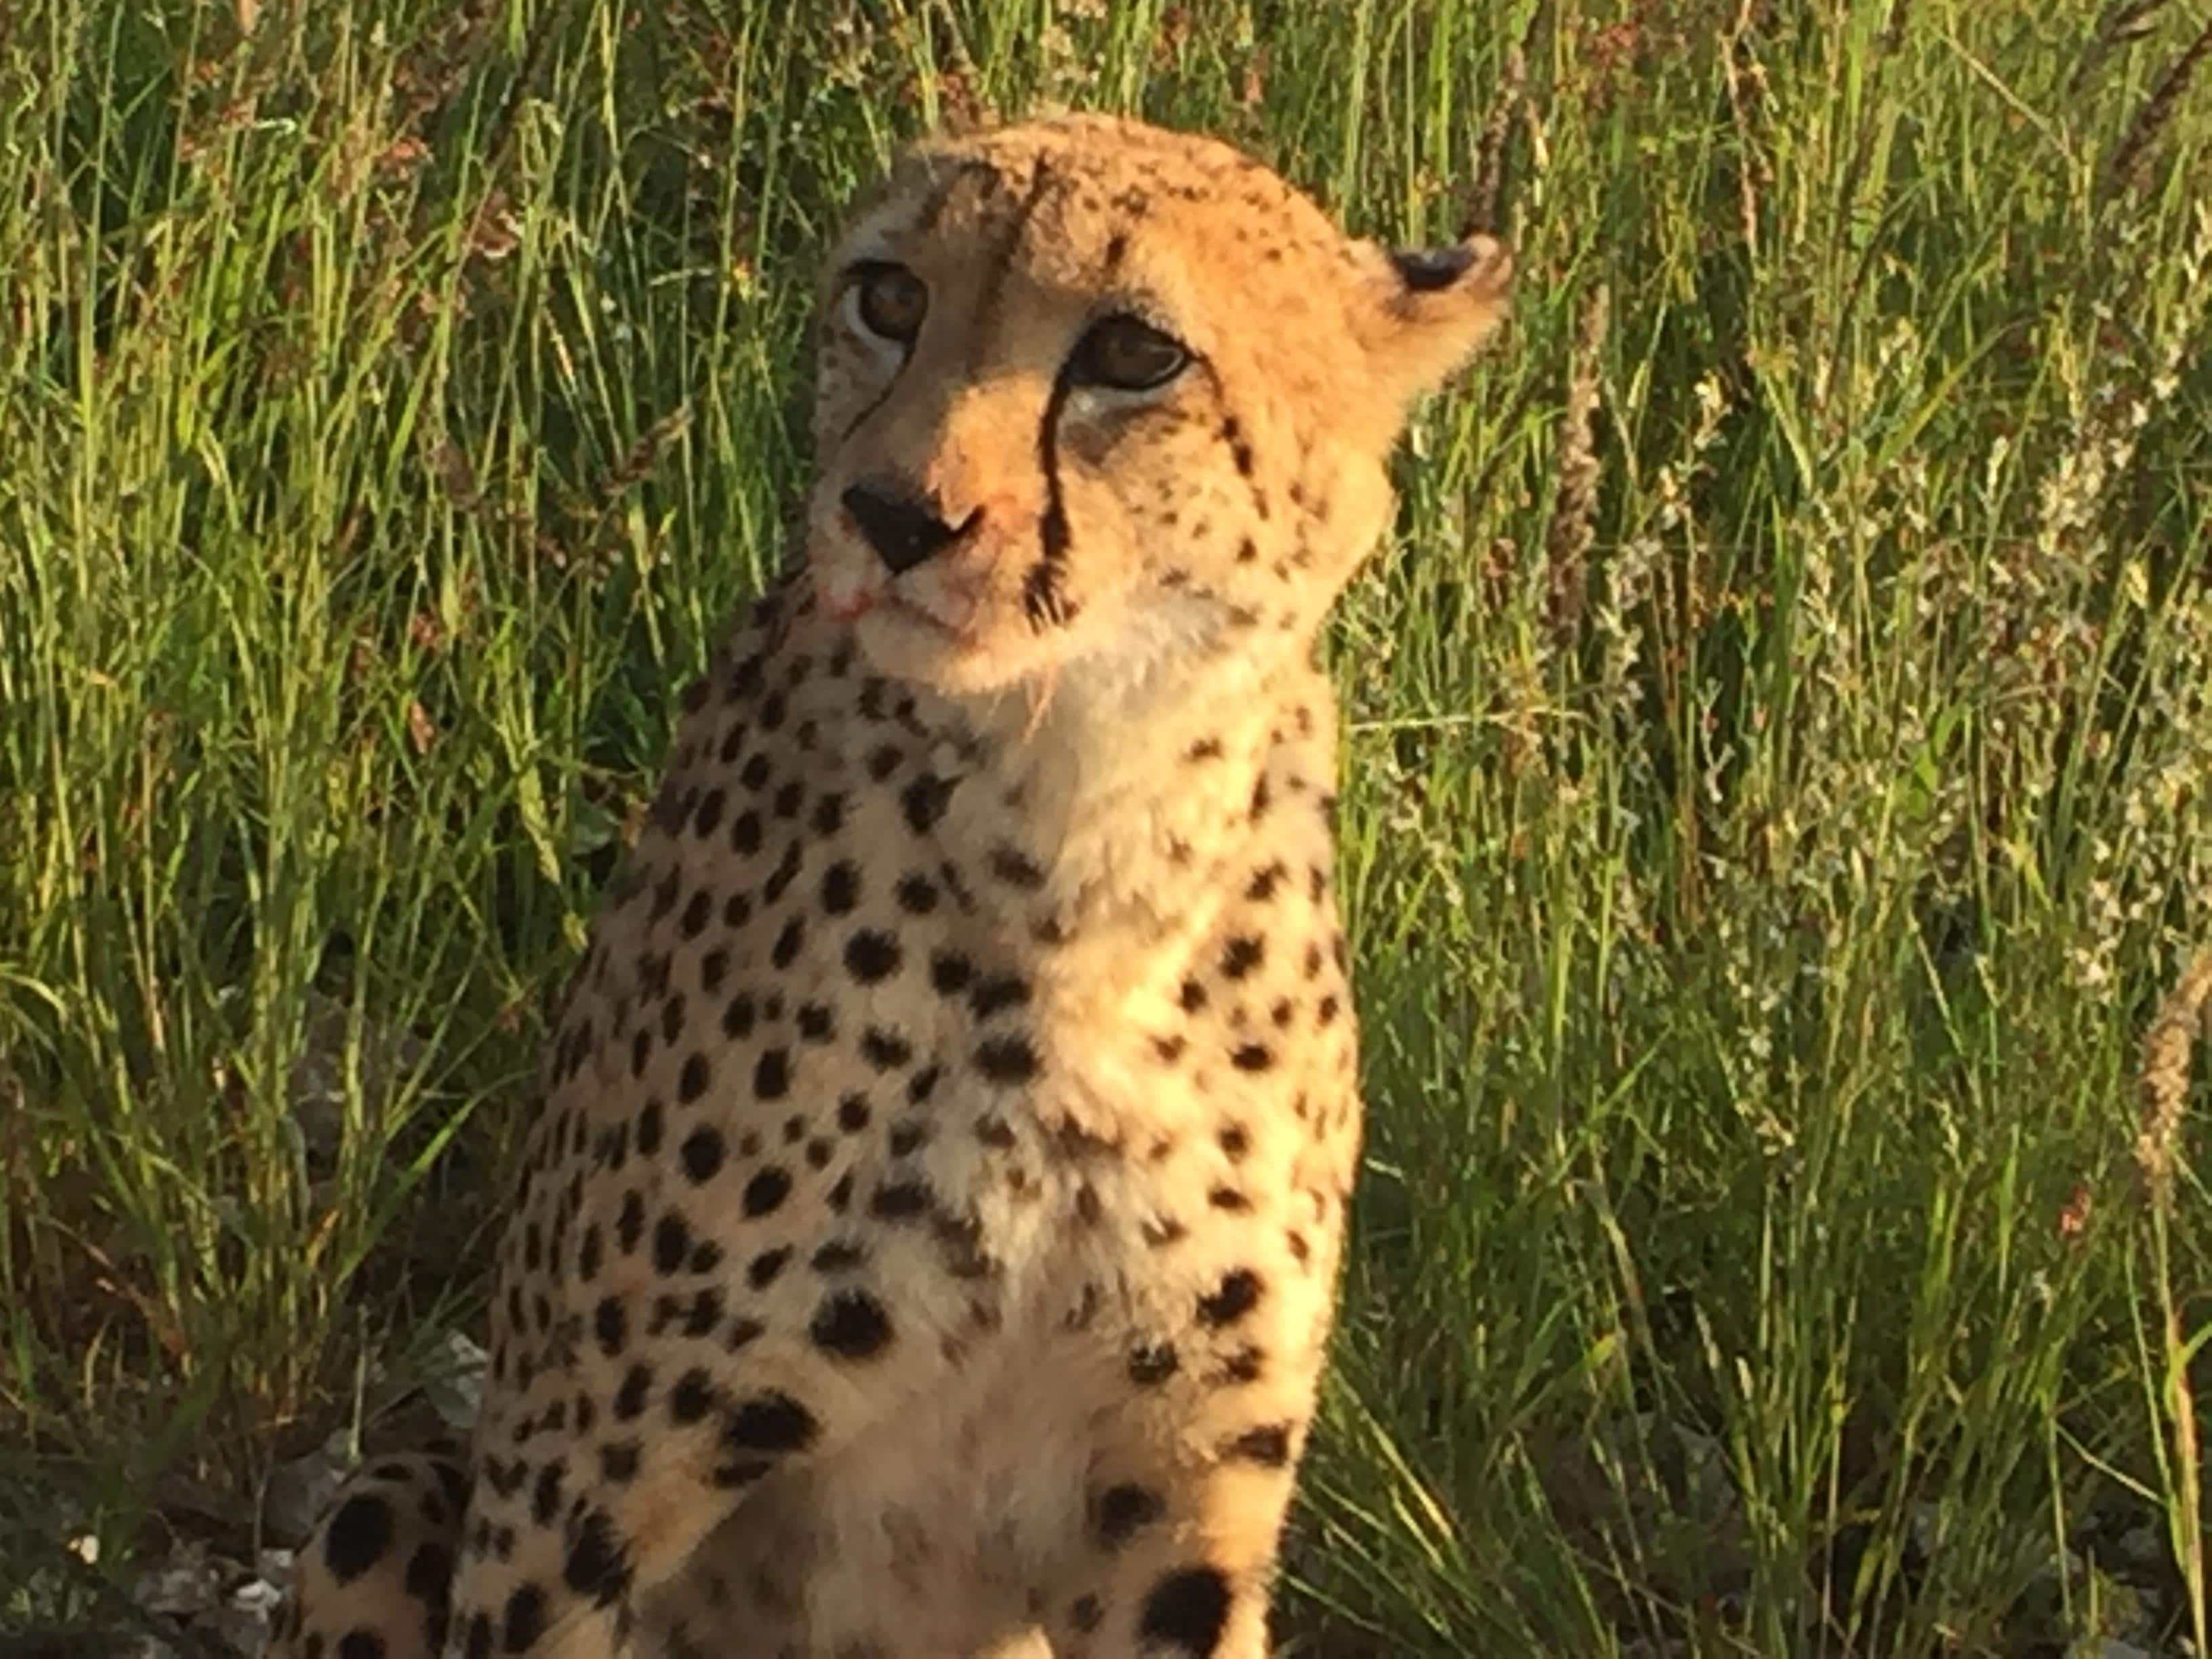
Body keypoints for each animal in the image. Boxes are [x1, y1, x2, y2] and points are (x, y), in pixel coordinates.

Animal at [272, 110, 1504, 1654]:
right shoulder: (565, 1496)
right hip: (407, 1488)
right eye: (891, 298)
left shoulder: (1173, 1515)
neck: (1082, 821)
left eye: (1133, 352)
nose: (892, 514)